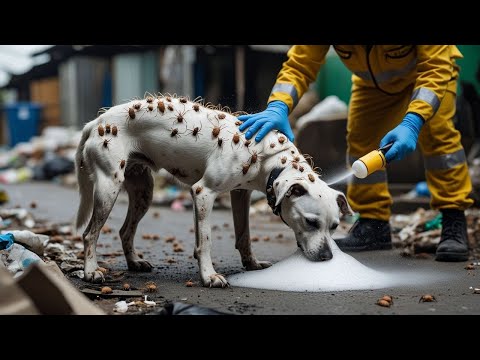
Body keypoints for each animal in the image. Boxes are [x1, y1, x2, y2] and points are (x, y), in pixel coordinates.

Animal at [75, 94, 352, 288]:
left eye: (335, 226)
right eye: (310, 222)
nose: (327, 256)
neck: (269, 156)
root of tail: (97, 121)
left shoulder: (239, 195)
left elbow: (243, 235)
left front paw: (251, 264)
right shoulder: (203, 193)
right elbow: (206, 240)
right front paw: (209, 276)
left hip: (143, 191)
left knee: (125, 231)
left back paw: (134, 262)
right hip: (109, 188)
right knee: (90, 234)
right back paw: (90, 271)